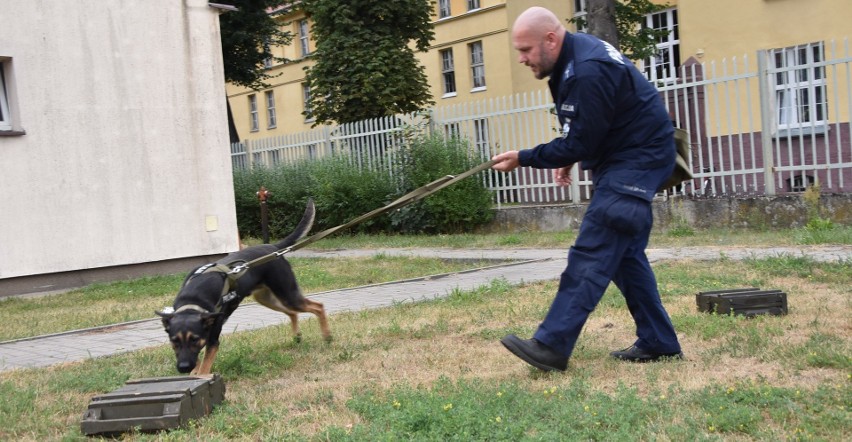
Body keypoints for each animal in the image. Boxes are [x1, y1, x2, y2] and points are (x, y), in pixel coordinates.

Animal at [156, 200, 330, 372]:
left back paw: (327, 336)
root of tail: (273, 248)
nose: (183, 368)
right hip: (265, 298)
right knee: (292, 313)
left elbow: (203, 371)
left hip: (288, 294)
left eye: (194, 339)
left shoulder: (212, 341)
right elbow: (197, 368)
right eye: (174, 341)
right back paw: (297, 336)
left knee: (318, 306)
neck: (193, 300)